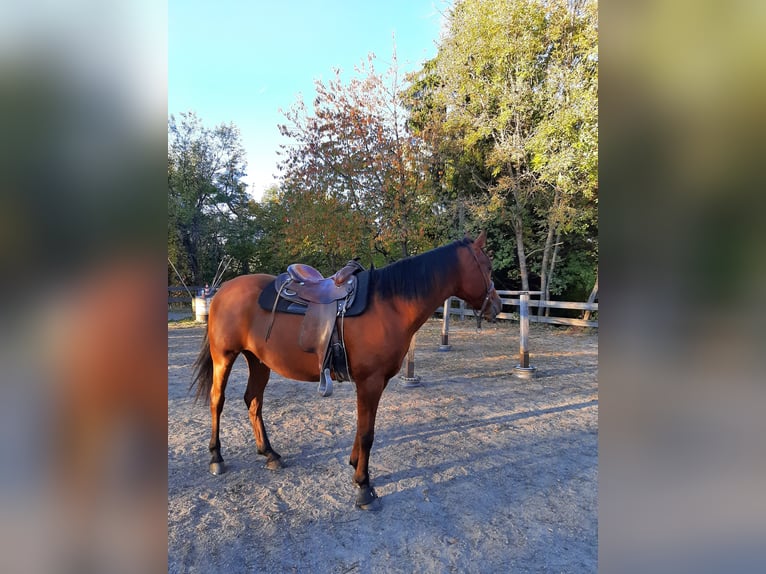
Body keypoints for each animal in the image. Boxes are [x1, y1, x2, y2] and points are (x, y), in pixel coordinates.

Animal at [191, 231, 502, 510]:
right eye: (487, 267)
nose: (497, 306)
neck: (389, 305)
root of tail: (223, 291)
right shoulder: (370, 382)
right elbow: (367, 434)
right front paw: (364, 487)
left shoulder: (373, 383)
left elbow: (362, 427)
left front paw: (355, 468)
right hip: (224, 357)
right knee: (217, 401)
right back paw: (216, 458)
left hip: (258, 361)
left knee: (253, 401)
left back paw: (269, 453)